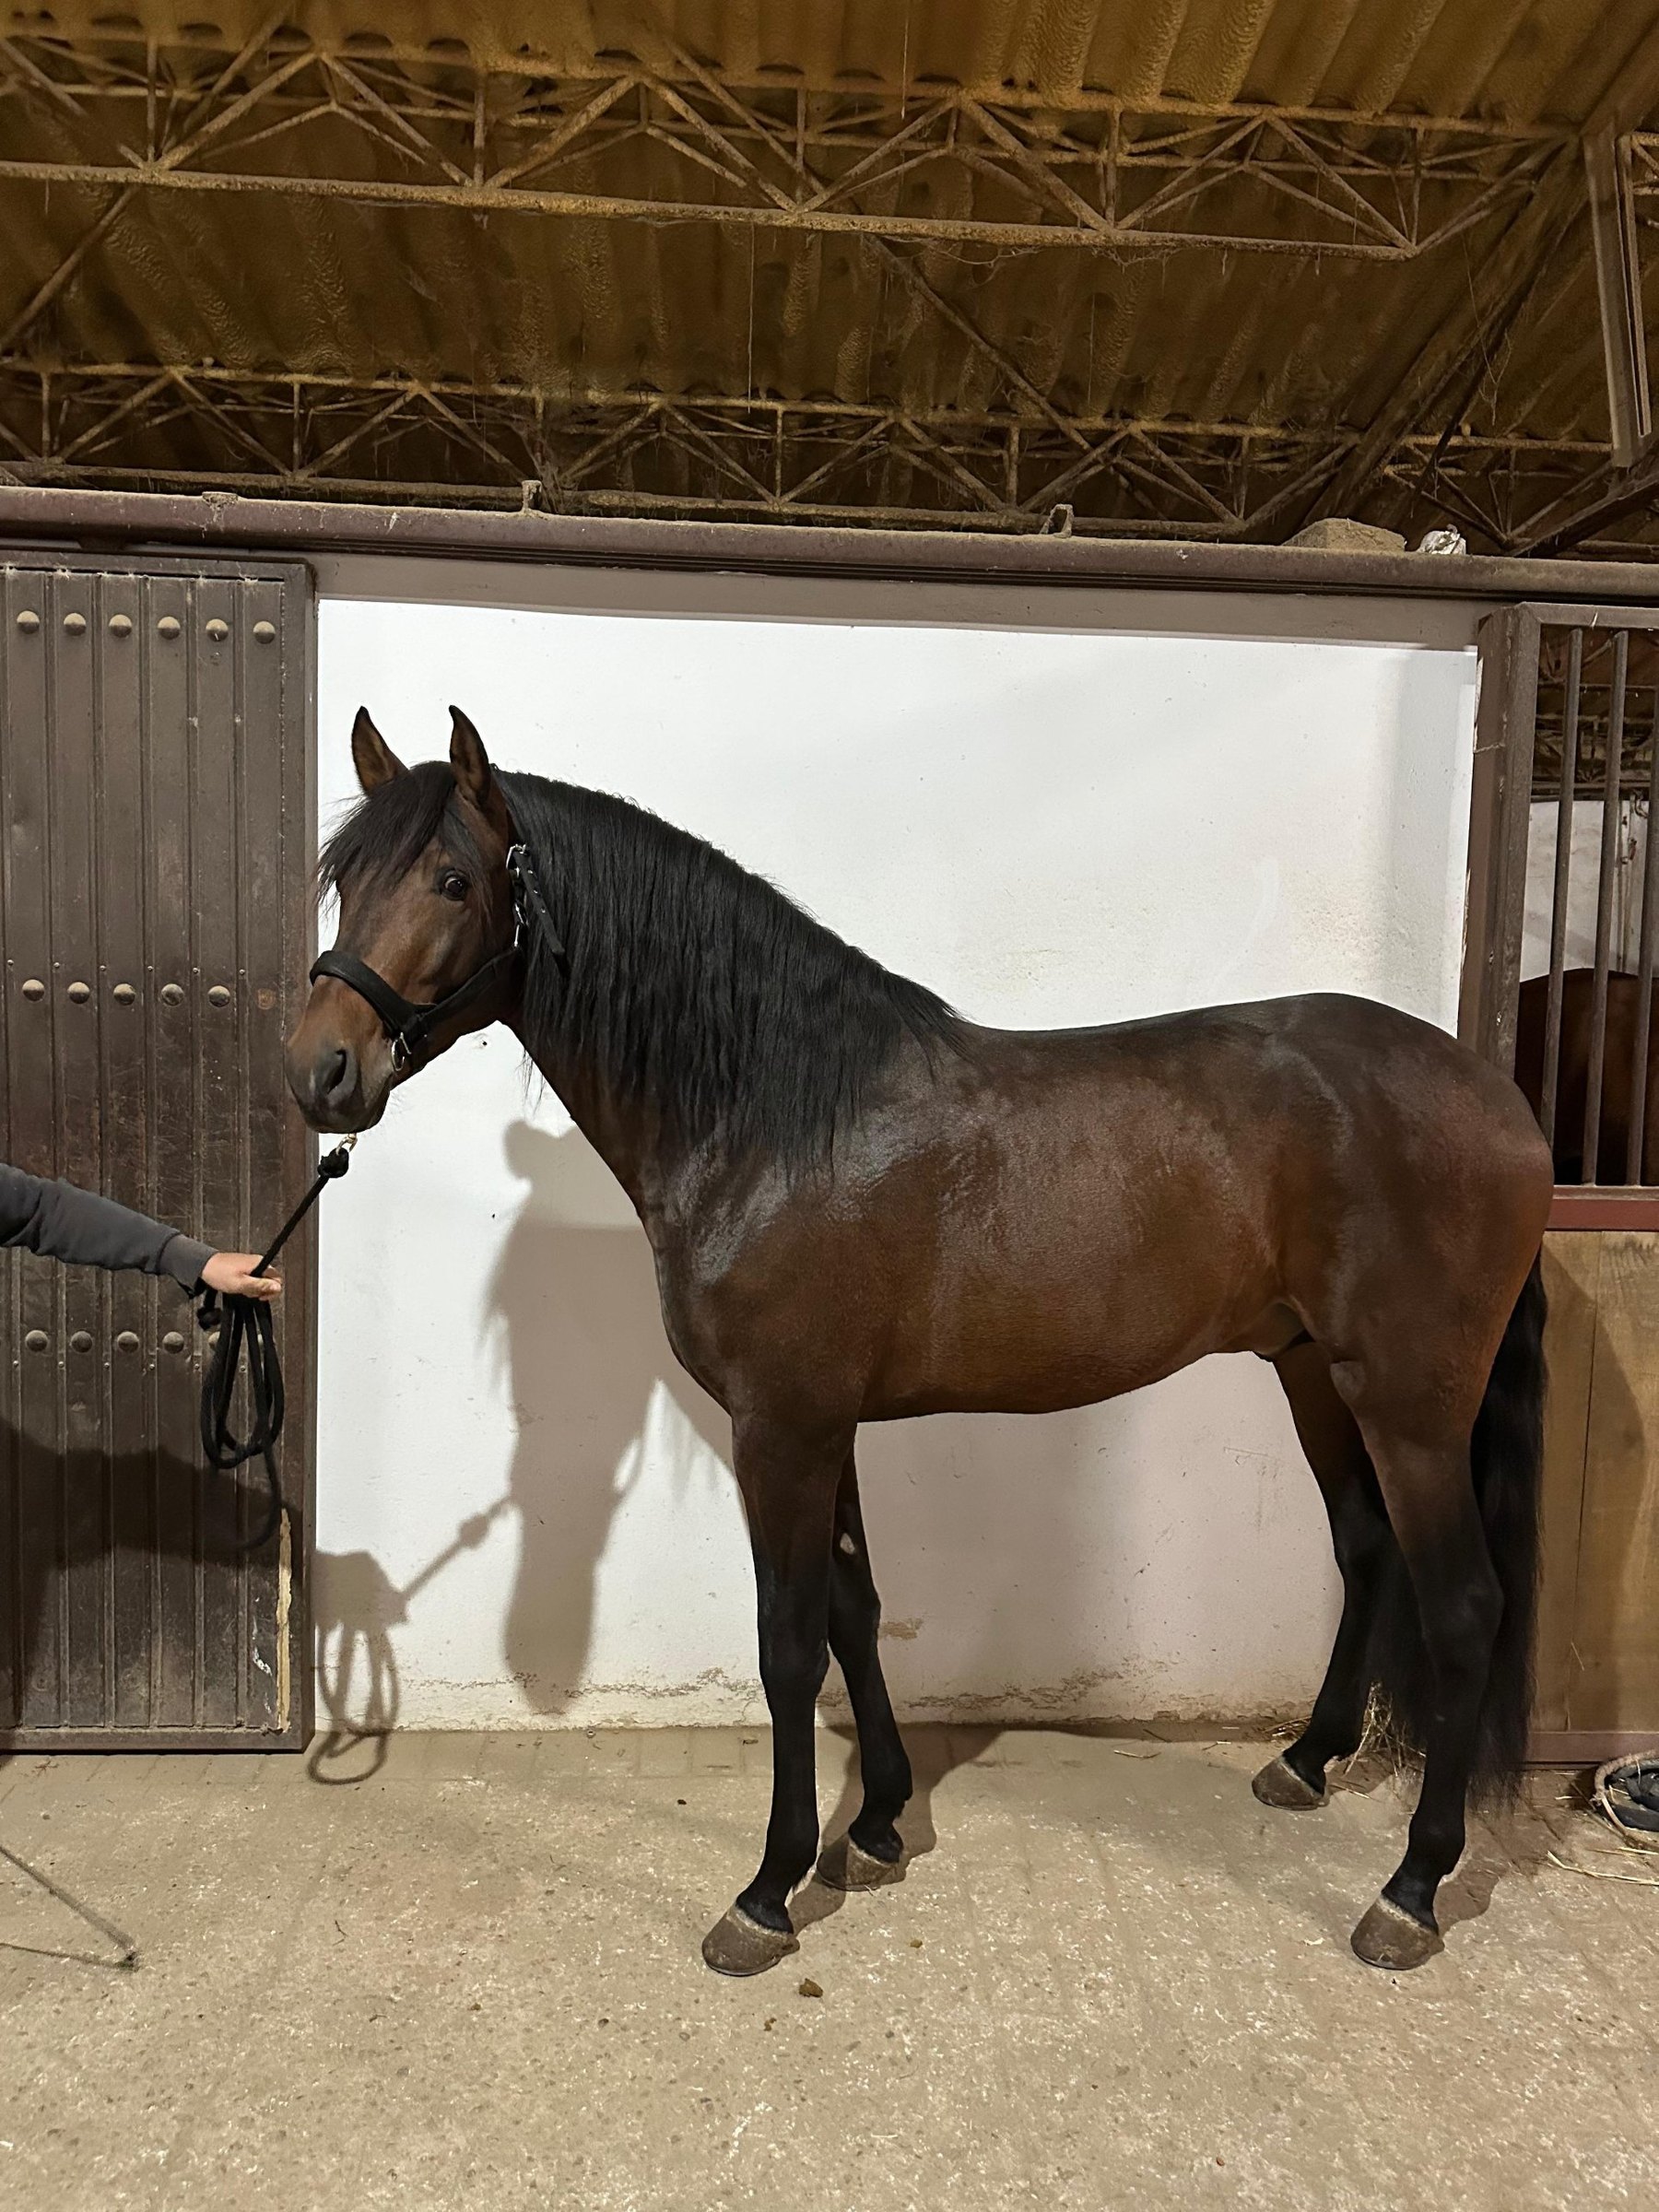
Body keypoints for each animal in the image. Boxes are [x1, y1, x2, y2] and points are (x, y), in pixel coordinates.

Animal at [286, 706, 1553, 1979]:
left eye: (453, 881)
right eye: (342, 880)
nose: (320, 1071)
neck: (769, 1117)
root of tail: (1500, 1100)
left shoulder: (782, 1429)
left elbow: (789, 1644)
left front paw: (769, 1889)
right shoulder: (824, 1424)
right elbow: (854, 1610)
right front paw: (879, 1825)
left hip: (1411, 1407)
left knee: (1463, 1605)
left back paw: (1412, 1886)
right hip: (1314, 1376)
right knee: (1366, 1548)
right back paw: (1305, 1761)